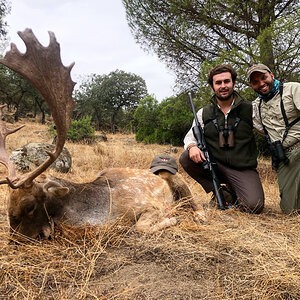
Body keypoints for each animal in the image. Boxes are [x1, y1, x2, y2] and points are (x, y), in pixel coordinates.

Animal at [0, 28, 198, 241]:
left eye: (29, 206)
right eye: (7, 206)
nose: (14, 242)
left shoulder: (150, 206)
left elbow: (141, 226)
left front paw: (173, 219)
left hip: (178, 181)